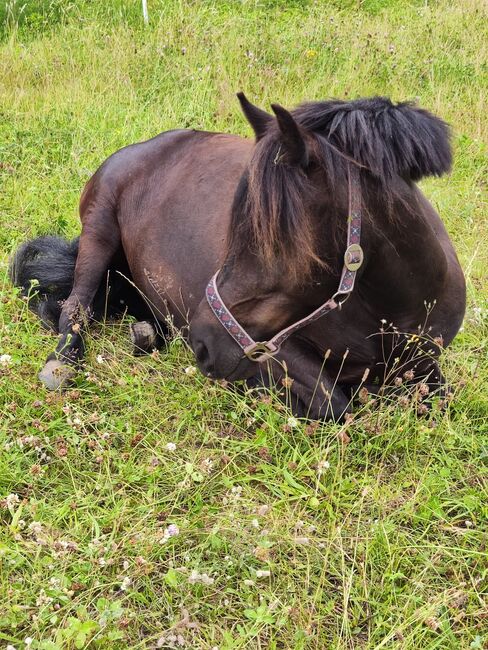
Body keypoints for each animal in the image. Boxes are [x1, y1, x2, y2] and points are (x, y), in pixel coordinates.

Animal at [8, 95, 466, 420]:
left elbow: (438, 399)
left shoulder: (426, 364)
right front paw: (266, 393)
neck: (390, 311)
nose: (204, 342)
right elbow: (335, 405)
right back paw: (62, 362)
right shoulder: (278, 350)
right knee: (76, 308)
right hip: (99, 230)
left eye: (274, 237)